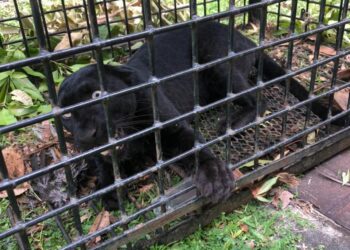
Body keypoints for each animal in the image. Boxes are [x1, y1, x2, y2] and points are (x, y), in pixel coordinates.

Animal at [57, 20, 340, 210]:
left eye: (97, 94)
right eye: (66, 117)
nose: (87, 134)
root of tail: (243, 36)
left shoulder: (173, 128)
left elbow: (195, 150)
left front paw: (215, 179)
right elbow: (106, 168)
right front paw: (107, 192)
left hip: (217, 63)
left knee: (259, 100)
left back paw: (231, 123)